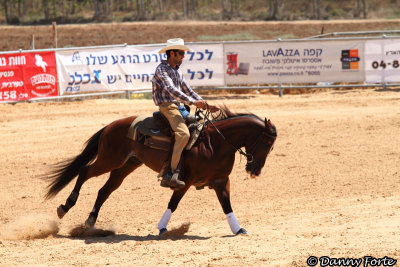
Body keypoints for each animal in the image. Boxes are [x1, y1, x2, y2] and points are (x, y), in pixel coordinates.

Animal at [43, 107, 276, 237]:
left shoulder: (221, 182)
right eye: (266, 142)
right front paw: (162, 228)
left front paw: (238, 229)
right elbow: (173, 204)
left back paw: (91, 222)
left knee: (104, 190)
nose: (255, 170)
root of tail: (111, 125)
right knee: (84, 171)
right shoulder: (184, 181)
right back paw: (66, 206)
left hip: (126, 165)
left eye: (272, 146)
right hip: (109, 160)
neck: (214, 143)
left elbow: (227, 206)